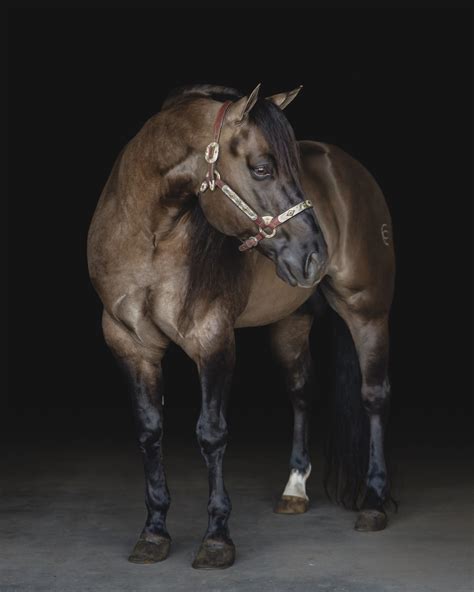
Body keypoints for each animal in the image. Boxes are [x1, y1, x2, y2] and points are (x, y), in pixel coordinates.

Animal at [87, 83, 394, 568]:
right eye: (262, 169)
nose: (315, 256)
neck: (147, 237)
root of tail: (346, 165)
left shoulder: (212, 338)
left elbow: (212, 434)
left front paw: (217, 539)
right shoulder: (129, 344)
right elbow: (150, 432)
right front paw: (153, 532)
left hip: (368, 310)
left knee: (374, 396)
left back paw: (375, 503)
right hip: (291, 321)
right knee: (301, 391)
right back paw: (295, 489)